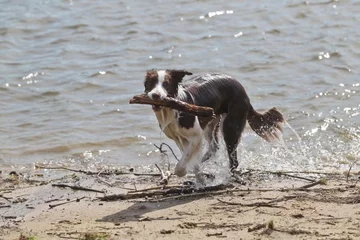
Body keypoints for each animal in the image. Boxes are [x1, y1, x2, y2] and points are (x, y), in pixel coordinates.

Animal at [143, 69, 284, 178]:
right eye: (151, 83)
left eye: (166, 84)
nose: (156, 95)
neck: (172, 108)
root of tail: (243, 90)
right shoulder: (179, 138)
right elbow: (188, 157)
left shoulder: (196, 135)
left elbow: (182, 162)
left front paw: (183, 172)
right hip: (212, 124)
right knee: (214, 147)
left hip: (230, 125)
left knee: (233, 160)